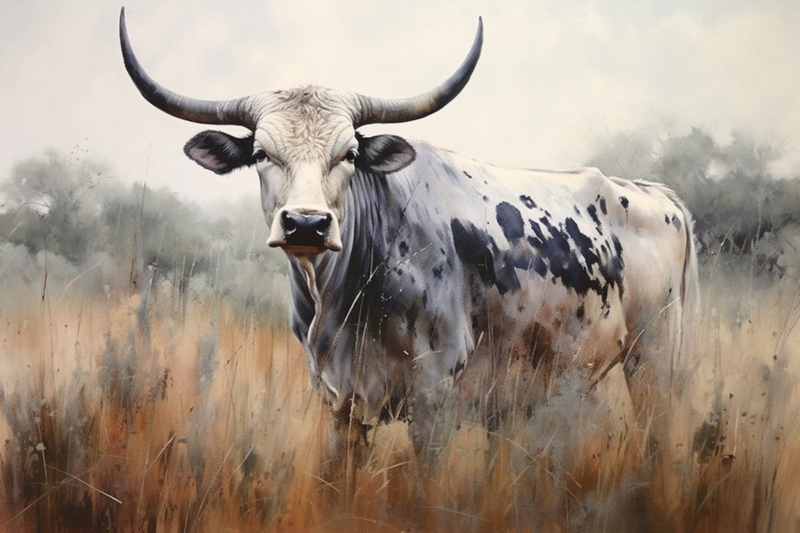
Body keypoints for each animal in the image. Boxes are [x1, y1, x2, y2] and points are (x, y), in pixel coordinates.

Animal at [119, 8, 705, 498]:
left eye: (349, 153)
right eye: (262, 153)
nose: (306, 223)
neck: (346, 300)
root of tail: (656, 194)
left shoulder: (433, 398)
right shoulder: (339, 404)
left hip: (657, 365)